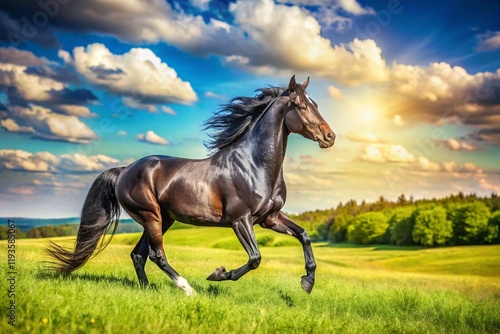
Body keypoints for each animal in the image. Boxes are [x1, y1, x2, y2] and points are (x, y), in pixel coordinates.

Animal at [47, 75, 336, 294]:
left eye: (315, 104)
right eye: (300, 106)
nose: (329, 136)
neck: (254, 165)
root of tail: (124, 171)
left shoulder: (270, 218)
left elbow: (304, 235)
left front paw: (307, 281)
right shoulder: (240, 220)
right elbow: (255, 258)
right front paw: (217, 274)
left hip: (162, 218)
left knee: (139, 255)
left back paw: (148, 289)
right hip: (150, 216)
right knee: (156, 255)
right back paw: (187, 289)